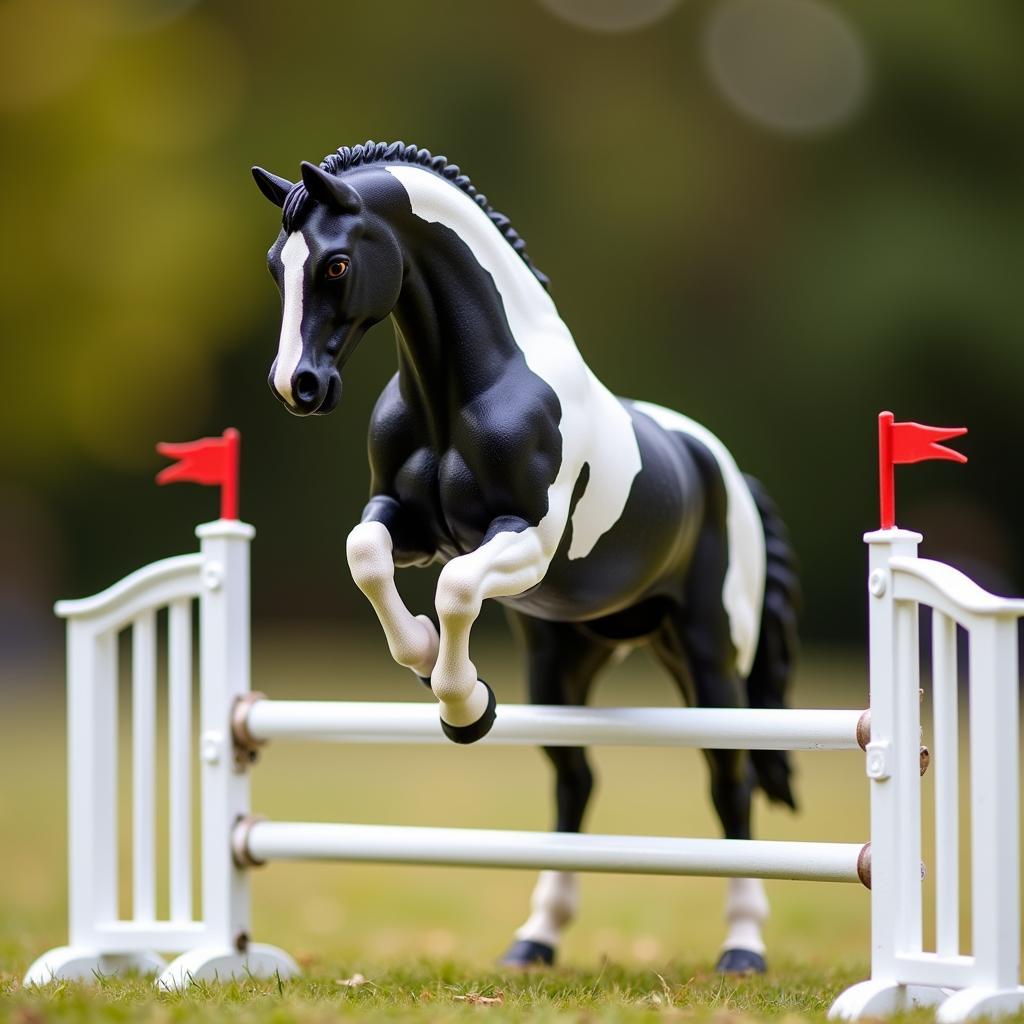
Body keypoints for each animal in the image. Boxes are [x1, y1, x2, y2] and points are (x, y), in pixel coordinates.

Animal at [253, 140, 798, 970]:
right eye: (276, 266)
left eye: (337, 263)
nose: (298, 386)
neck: (464, 389)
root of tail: (723, 468)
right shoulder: (406, 524)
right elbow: (367, 556)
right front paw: (425, 663)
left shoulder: (528, 541)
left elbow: (455, 589)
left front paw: (464, 704)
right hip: (562, 663)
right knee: (575, 781)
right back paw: (535, 939)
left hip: (710, 659)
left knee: (728, 783)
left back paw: (743, 948)